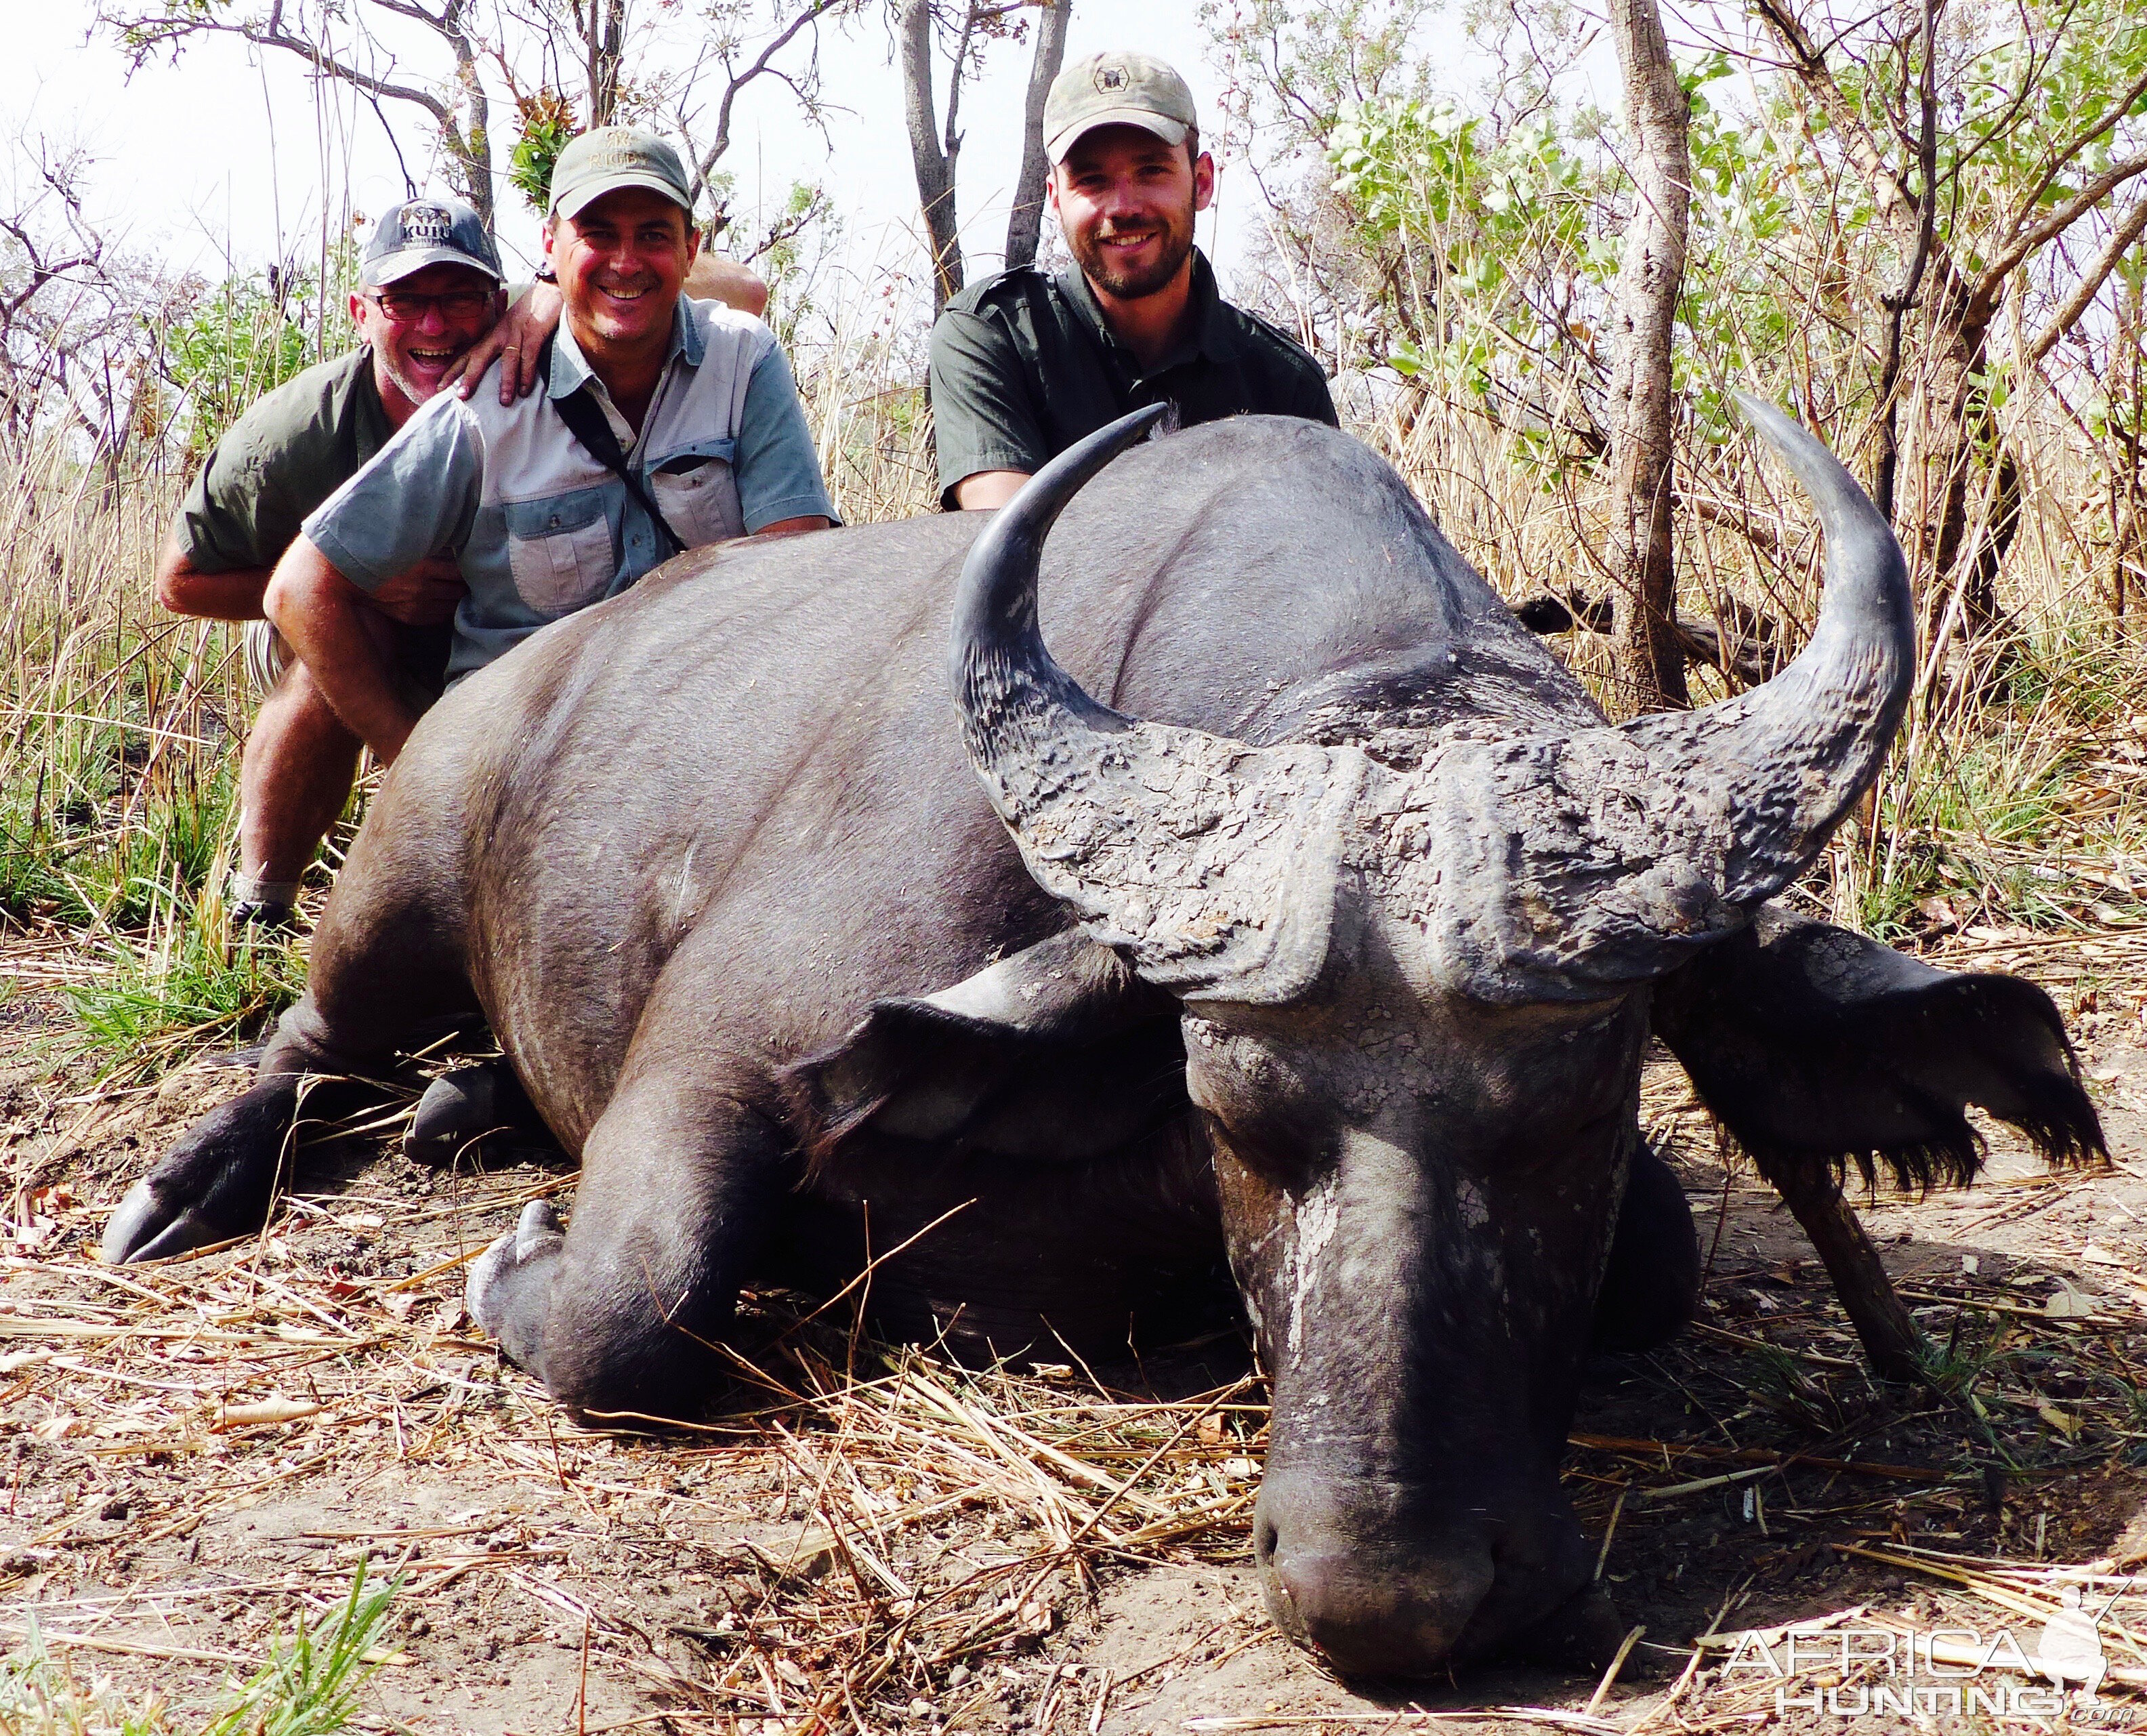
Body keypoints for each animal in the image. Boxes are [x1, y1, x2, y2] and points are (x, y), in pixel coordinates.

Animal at [104, 404, 2095, 1684]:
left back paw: (458, 1109)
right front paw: (519, 1256)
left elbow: (1660, 1256)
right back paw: (190, 1187)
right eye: (1229, 1105)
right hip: (398, 891)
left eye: (1585, 1103)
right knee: (308, 1043)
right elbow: (630, 1300)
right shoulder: (716, 1070)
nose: (1393, 1592)